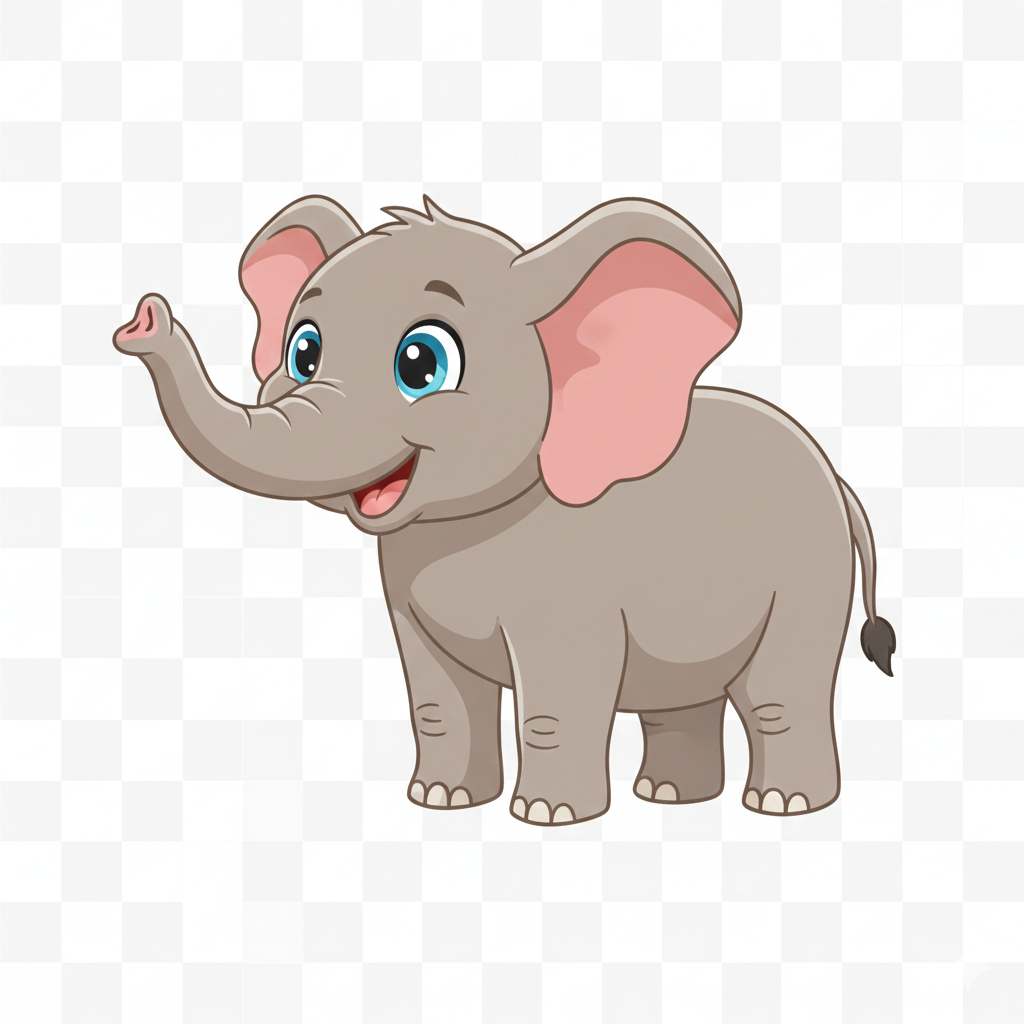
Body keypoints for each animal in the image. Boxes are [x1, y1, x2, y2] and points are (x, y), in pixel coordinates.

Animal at [114, 195, 895, 825]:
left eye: (421, 364)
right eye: (304, 352)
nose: (142, 317)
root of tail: (837, 477)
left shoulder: (568, 588)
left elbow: (557, 689)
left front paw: (547, 816)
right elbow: (435, 697)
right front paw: (440, 801)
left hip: (809, 572)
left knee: (779, 692)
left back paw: (783, 804)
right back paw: (669, 797)